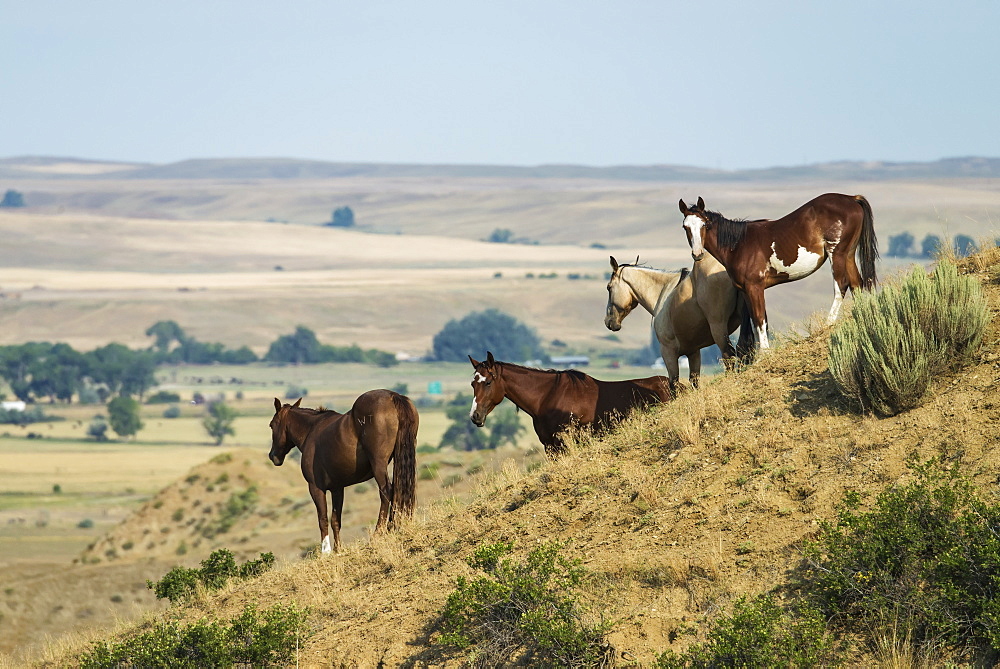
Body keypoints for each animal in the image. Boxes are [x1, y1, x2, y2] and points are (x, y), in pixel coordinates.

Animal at [266, 388, 418, 552]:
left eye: (272, 425)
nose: (273, 456)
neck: (311, 430)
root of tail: (393, 396)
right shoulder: (337, 488)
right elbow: (335, 520)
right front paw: (338, 550)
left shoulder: (316, 487)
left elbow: (323, 519)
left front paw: (326, 551)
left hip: (379, 464)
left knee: (386, 492)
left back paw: (378, 534)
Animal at [468, 350, 672, 454]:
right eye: (473, 384)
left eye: (488, 382)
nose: (475, 416)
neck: (548, 397)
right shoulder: (549, 445)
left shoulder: (563, 441)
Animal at [600, 256, 752, 392]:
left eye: (609, 287)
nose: (609, 321)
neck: (663, 293)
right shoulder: (693, 352)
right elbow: (694, 382)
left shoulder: (668, 351)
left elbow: (674, 384)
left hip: (718, 327)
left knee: (729, 356)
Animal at [676, 193, 880, 350]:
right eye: (685, 227)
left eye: (705, 225)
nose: (697, 254)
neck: (738, 245)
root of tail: (851, 198)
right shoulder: (746, 290)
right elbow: (755, 320)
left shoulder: (755, 288)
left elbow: (760, 319)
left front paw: (764, 353)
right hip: (848, 254)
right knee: (856, 284)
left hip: (836, 253)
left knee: (842, 285)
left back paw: (828, 323)